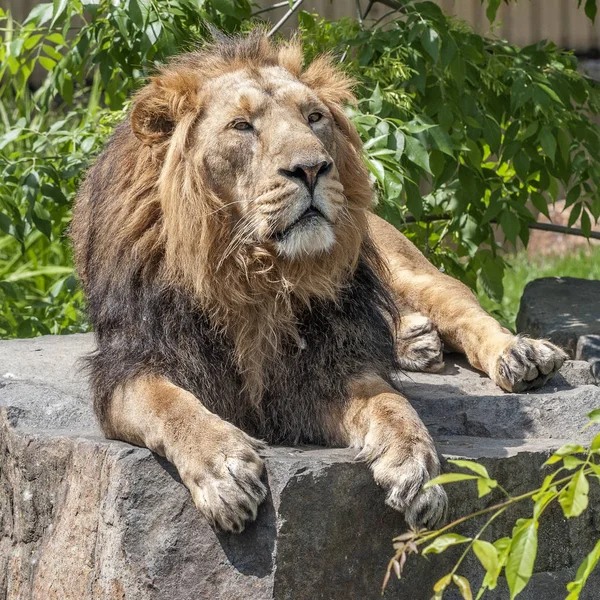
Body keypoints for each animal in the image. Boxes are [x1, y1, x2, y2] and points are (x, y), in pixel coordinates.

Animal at [71, 30, 568, 532]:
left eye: (314, 118)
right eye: (241, 126)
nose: (311, 168)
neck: (254, 275)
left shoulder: (327, 363)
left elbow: (390, 403)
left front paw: (417, 466)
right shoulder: (129, 362)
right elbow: (171, 406)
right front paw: (224, 470)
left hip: (404, 268)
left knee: (463, 309)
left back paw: (521, 354)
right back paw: (415, 341)